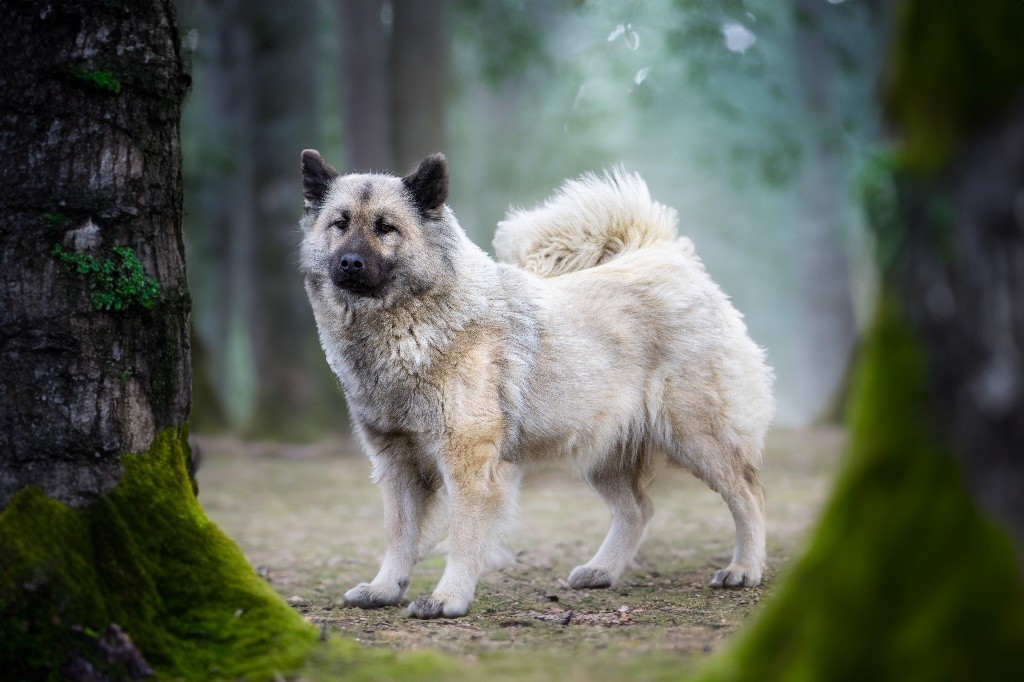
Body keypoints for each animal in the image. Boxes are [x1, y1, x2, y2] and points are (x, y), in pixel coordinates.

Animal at [299, 148, 770, 614]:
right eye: (340, 223)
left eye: (386, 227)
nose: (350, 263)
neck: (413, 322)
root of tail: (666, 254)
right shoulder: (396, 462)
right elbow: (398, 534)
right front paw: (384, 589)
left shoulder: (468, 463)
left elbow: (463, 536)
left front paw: (447, 598)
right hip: (606, 450)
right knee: (638, 509)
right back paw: (601, 571)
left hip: (699, 438)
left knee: (748, 496)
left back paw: (744, 570)